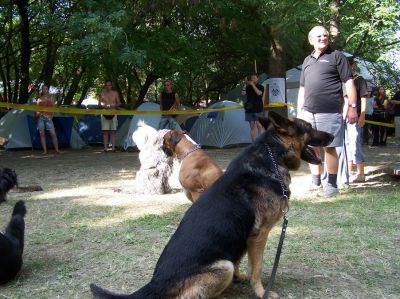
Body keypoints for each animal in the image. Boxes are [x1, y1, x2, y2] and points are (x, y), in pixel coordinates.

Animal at [90, 111, 334, 298]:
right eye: (309, 127)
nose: (332, 135)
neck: (271, 156)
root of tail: (155, 282)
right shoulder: (259, 235)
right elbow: (256, 269)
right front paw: (262, 292)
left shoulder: (243, 239)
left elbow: (243, 263)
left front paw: (241, 278)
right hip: (222, 267)